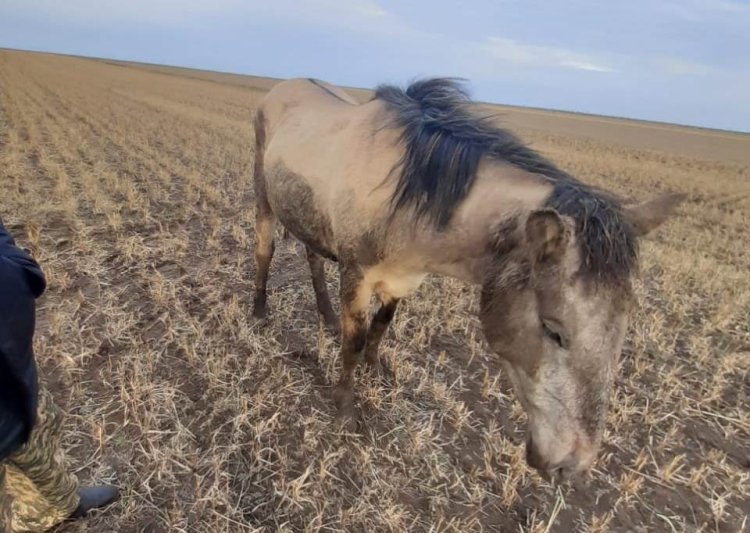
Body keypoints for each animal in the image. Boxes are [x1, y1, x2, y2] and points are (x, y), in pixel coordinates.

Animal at [253, 79, 688, 482]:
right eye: (554, 329)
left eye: (622, 333)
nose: (572, 466)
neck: (409, 198)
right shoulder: (357, 277)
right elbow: (353, 345)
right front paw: (345, 410)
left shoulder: (404, 280)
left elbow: (381, 326)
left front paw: (377, 371)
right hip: (264, 198)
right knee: (265, 252)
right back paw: (259, 313)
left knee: (312, 256)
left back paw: (326, 316)